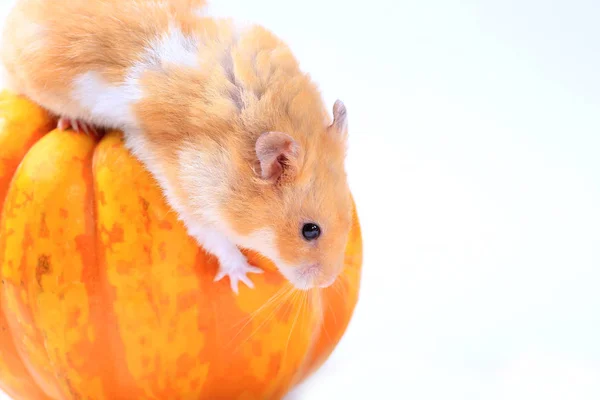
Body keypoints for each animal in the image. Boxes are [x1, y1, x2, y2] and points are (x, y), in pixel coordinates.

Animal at [0, 0, 354, 294]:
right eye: (310, 231)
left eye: (348, 217)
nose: (327, 282)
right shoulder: (189, 190)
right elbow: (215, 239)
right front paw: (244, 279)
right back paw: (75, 123)